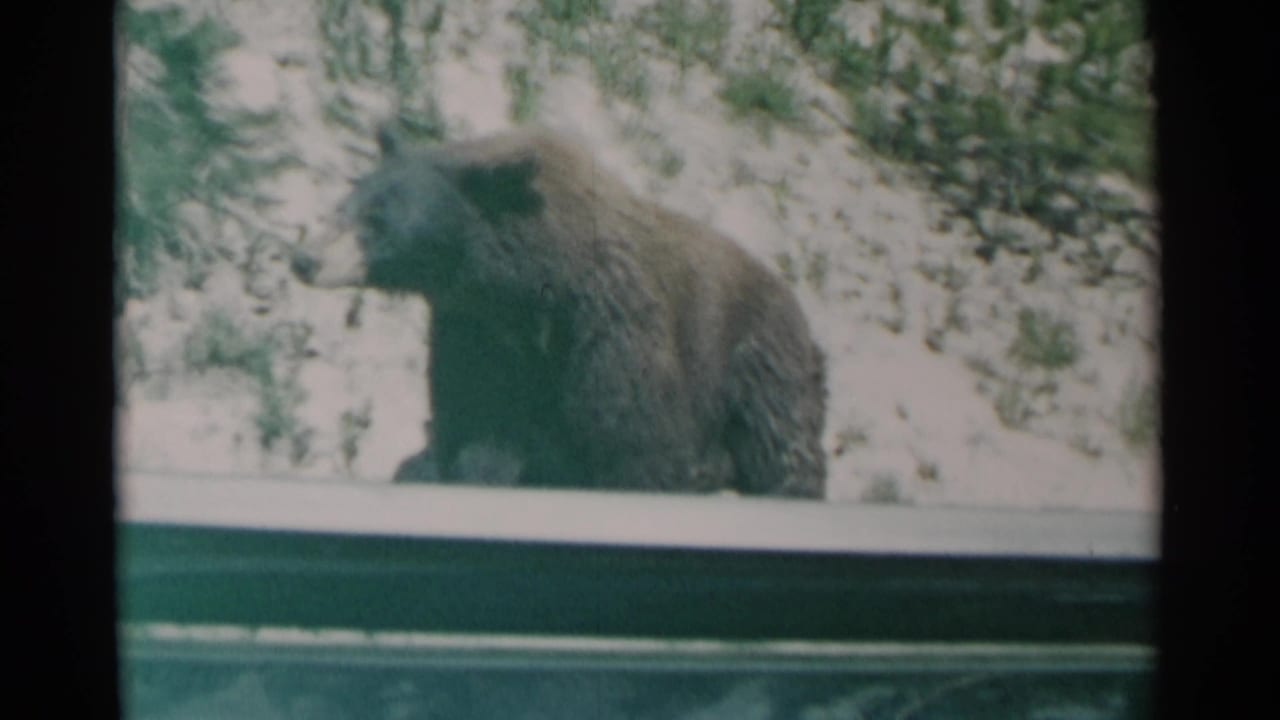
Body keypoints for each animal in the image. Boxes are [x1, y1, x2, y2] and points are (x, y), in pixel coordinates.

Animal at [292, 125, 827, 498]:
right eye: (347, 201)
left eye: (378, 221)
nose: (305, 258)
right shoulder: (476, 338)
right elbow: (477, 430)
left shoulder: (612, 333)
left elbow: (637, 442)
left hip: (760, 368)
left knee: (783, 451)